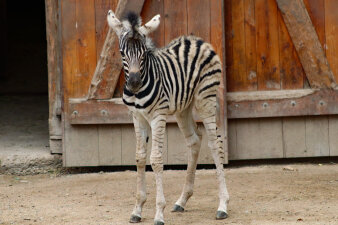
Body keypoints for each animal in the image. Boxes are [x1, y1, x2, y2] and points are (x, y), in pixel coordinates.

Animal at [107, 9, 230, 224]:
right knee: (194, 140)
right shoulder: (137, 117)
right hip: (183, 108)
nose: (134, 83)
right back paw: (182, 201)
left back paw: (222, 205)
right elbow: (140, 157)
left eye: (144, 53)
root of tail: (197, 40)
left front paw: (158, 213)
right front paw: (137, 209)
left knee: (215, 145)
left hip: (205, 98)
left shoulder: (158, 116)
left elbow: (155, 159)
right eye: (122, 53)